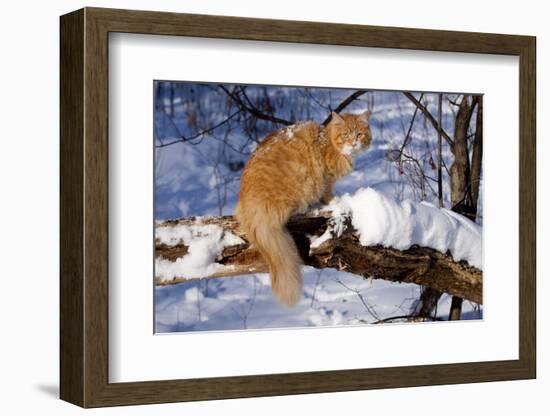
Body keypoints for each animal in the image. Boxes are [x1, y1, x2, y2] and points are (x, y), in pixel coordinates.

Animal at [235, 110, 374, 306]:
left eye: (359, 134)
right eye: (346, 135)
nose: (353, 143)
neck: (329, 143)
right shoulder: (326, 179)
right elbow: (328, 193)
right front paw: (334, 202)